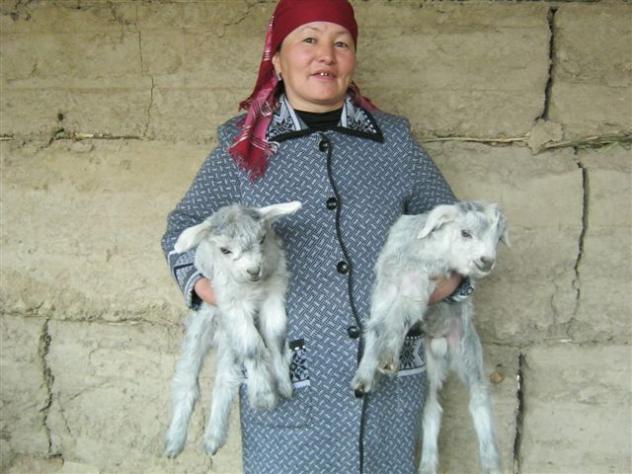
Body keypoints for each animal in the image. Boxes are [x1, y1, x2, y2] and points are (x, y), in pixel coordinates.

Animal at [164, 201, 302, 458]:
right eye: (225, 250)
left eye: (262, 239)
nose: (254, 270)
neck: (254, 287)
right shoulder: (232, 302)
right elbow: (254, 346)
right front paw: (265, 396)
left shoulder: (273, 293)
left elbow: (275, 337)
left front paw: (284, 384)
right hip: (203, 325)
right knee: (186, 382)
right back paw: (175, 441)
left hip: (229, 342)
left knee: (225, 381)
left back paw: (212, 439)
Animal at [351, 201, 509, 474]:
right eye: (465, 233)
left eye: (498, 238)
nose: (487, 261)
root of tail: (440, 339)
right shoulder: (384, 290)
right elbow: (377, 327)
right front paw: (364, 376)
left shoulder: (418, 289)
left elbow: (397, 319)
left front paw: (387, 359)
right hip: (429, 365)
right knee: (432, 410)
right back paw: (427, 464)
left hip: (466, 349)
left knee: (478, 398)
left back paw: (490, 462)